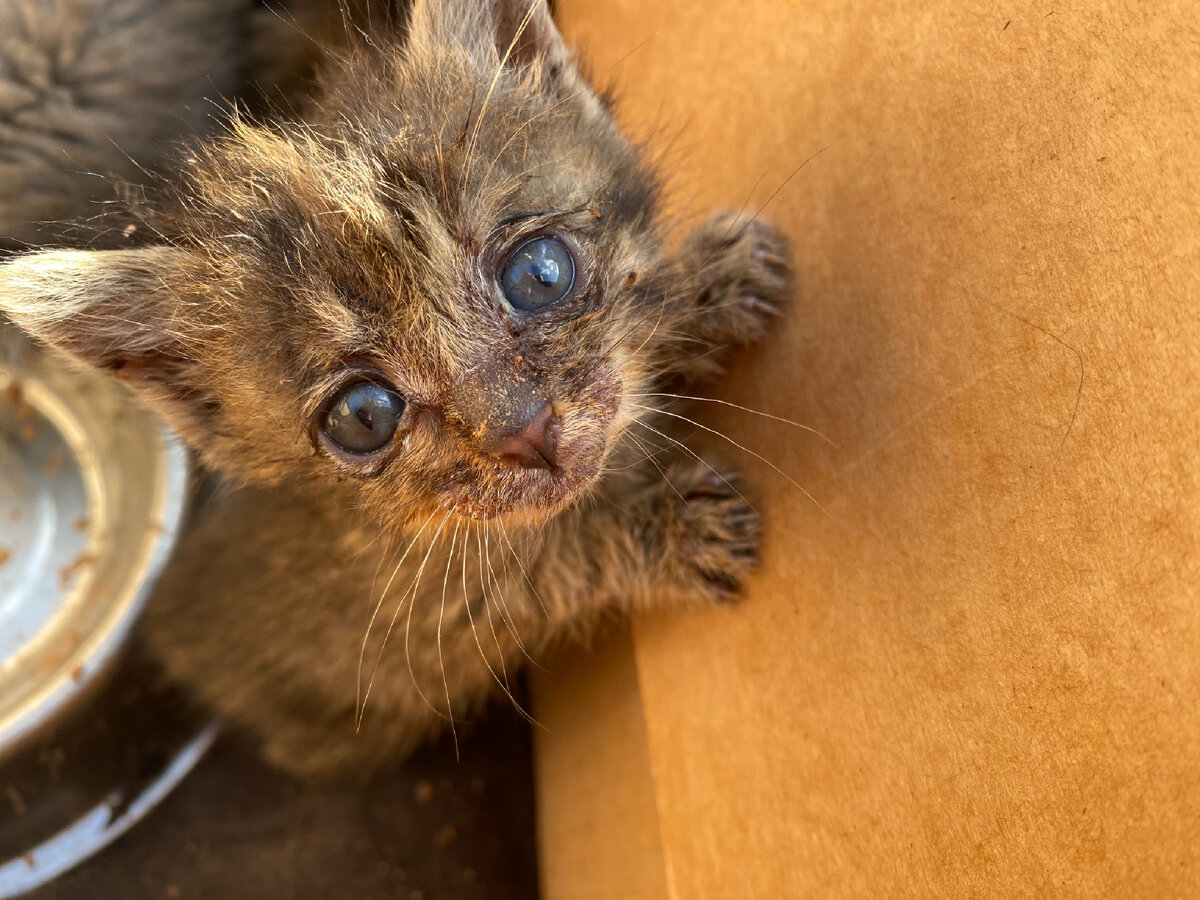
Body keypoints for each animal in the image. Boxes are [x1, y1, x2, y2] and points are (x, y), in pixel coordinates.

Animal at [0, 0, 792, 777]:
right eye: (364, 416)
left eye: (540, 274)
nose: (527, 431)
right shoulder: (422, 609)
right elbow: (548, 568)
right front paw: (677, 528)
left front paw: (701, 285)